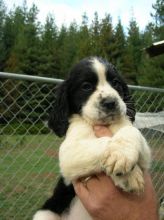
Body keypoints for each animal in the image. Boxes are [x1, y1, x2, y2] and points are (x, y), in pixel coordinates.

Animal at [33, 56, 151, 220]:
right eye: (86, 86)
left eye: (116, 83)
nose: (110, 102)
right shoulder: (69, 153)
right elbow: (101, 142)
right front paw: (129, 174)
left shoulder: (145, 154)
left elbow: (130, 131)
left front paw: (121, 155)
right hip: (45, 214)